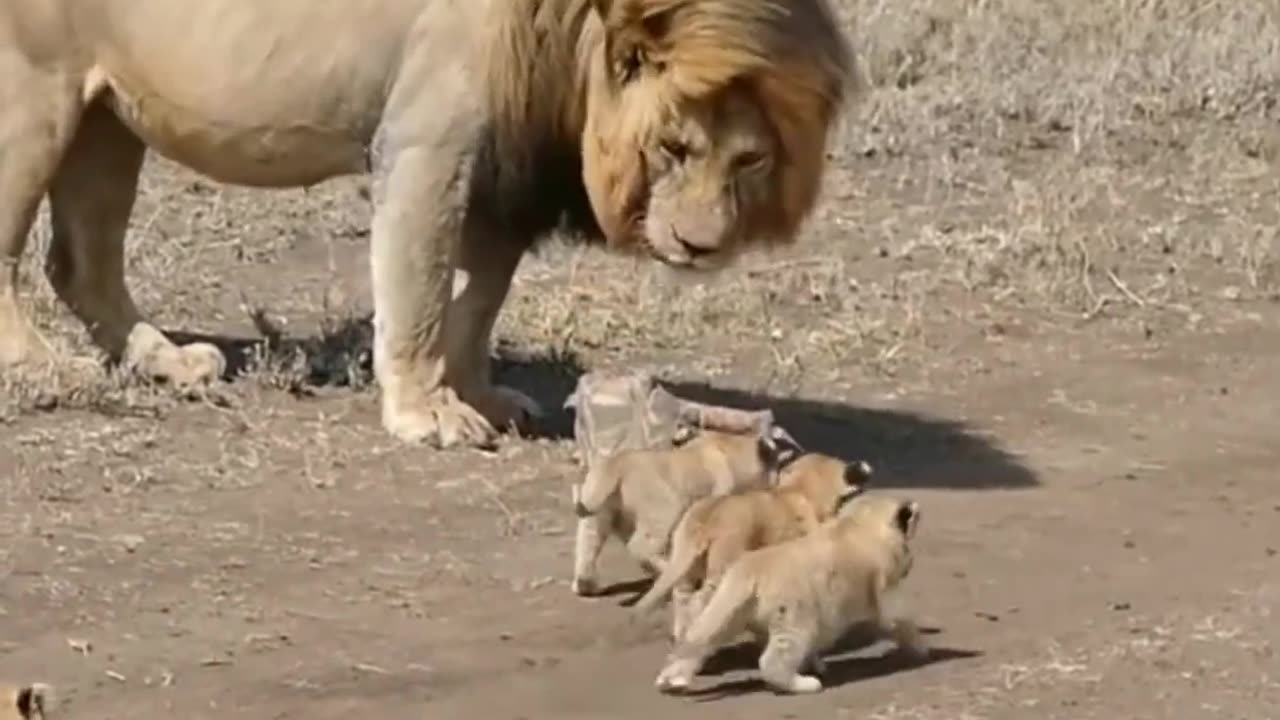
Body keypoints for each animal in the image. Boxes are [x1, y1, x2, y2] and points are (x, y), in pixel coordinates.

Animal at [5, 0, 860, 445]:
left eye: (749, 159)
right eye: (674, 146)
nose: (700, 245)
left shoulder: (503, 171)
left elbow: (478, 302)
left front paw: (478, 395)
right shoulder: (427, 145)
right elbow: (417, 294)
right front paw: (428, 414)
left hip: (111, 115)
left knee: (81, 261)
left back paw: (169, 362)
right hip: (33, 91)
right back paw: (41, 367)